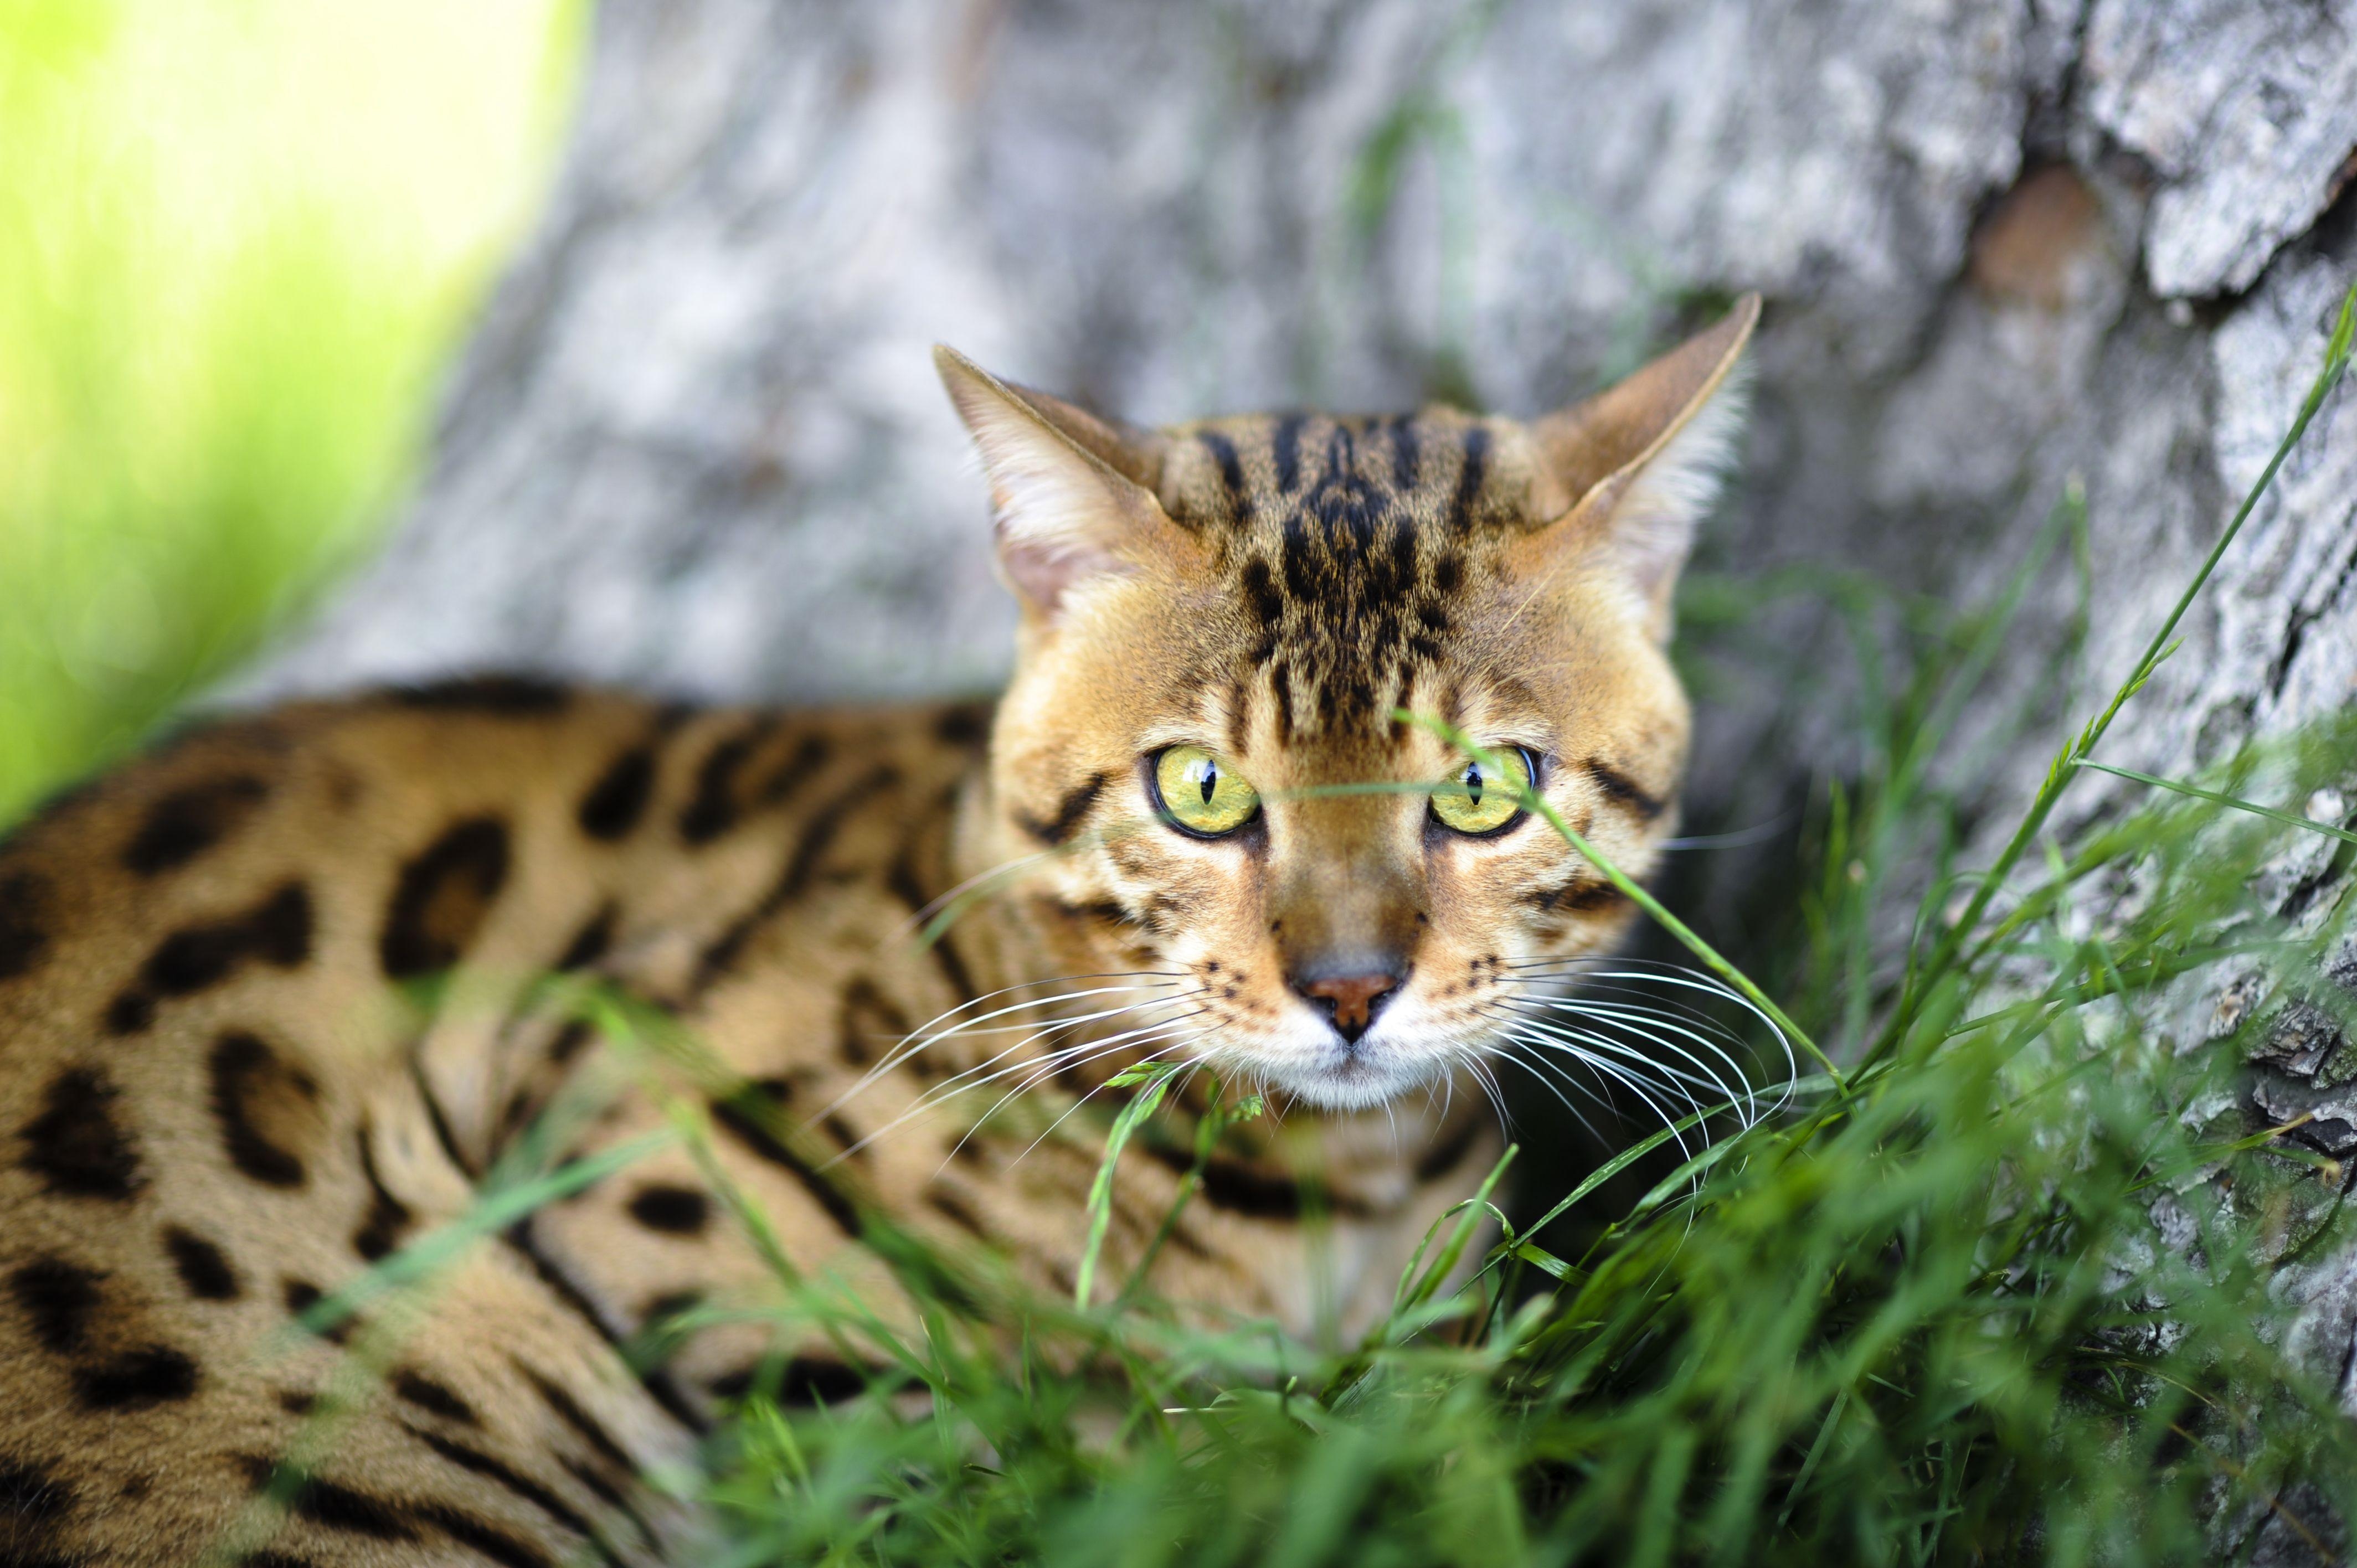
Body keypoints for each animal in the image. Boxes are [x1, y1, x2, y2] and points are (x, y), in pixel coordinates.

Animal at [0, 297, 1763, 1565]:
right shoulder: (645, 1164)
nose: (1348, 987)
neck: (1336, 1201)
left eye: (1481, 789)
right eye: (1199, 790)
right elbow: (1055, 1443)